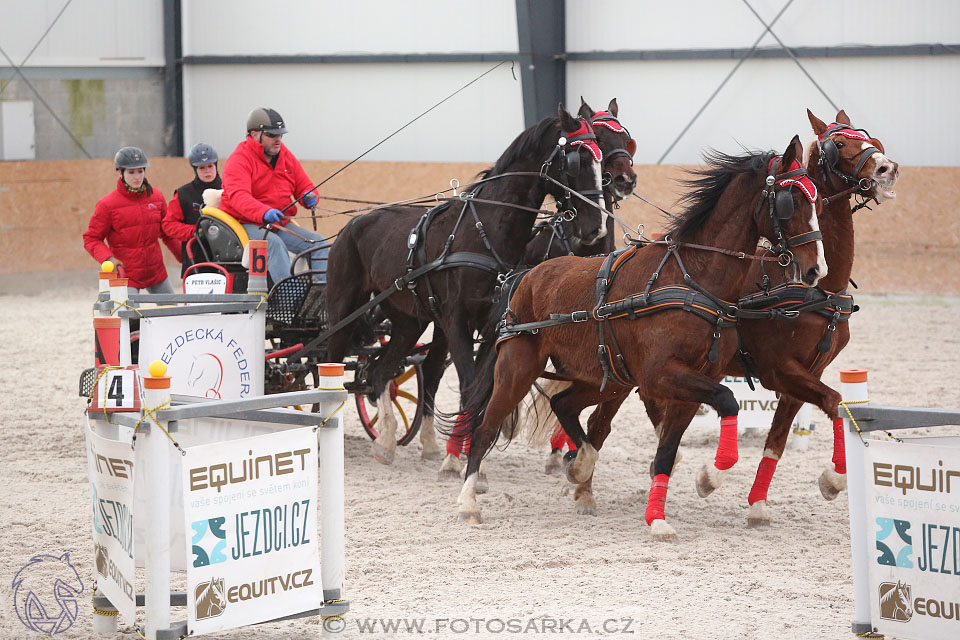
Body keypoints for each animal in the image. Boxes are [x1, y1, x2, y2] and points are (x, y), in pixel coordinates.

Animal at [322, 105, 608, 464]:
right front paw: (456, 462)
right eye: (577, 160)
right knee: (331, 361)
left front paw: (470, 460)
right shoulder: (456, 321)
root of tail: (353, 223)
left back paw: (387, 442)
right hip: (343, 308)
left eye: (601, 163)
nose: (597, 227)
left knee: (380, 372)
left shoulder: (492, 325)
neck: (484, 230)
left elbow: (483, 390)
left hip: (408, 321)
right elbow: (469, 386)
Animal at [684, 107, 900, 524]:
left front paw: (759, 503)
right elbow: (834, 401)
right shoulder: (778, 369)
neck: (818, 291)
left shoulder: (806, 373)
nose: (887, 167)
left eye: (870, 140)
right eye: (839, 144)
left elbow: (782, 438)